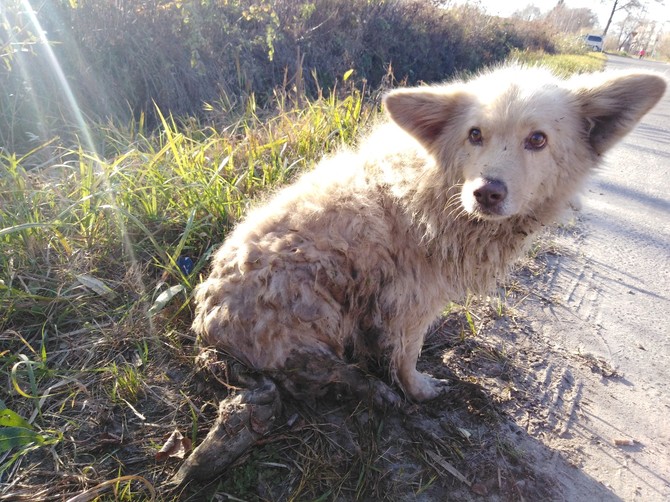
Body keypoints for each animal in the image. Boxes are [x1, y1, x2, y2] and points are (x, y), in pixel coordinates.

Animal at [192, 65, 668, 404]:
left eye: (538, 140)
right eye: (475, 134)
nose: (487, 192)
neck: (436, 186)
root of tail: (207, 326)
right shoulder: (412, 299)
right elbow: (407, 355)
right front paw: (416, 390)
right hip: (315, 307)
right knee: (313, 375)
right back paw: (370, 391)